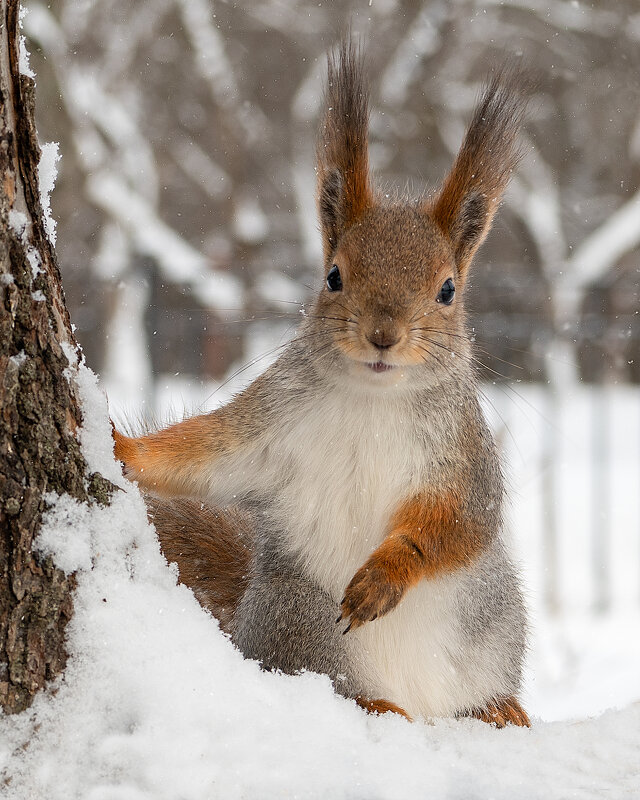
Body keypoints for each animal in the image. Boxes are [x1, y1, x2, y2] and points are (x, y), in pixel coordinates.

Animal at [114, 40, 528, 728]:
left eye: (447, 290)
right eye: (333, 276)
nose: (383, 335)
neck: (374, 398)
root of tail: (423, 702)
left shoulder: (465, 456)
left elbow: (461, 522)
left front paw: (386, 574)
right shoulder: (266, 426)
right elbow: (201, 457)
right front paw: (121, 449)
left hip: (491, 620)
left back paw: (500, 708)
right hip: (298, 621)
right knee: (335, 683)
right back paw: (377, 703)